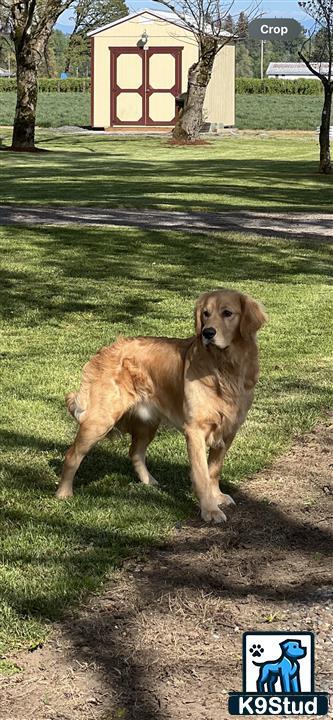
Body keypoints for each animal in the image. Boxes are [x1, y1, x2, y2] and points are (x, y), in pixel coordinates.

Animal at [55, 286, 266, 524]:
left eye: (227, 313)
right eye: (206, 314)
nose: (207, 333)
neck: (225, 368)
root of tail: (104, 350)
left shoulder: (228, 430)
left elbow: (214, 470)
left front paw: (217, 497)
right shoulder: (195, 431)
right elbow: (202, 474)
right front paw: (209, 510)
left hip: (147, 423)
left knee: (135, 453)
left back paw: (149, 481)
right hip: (100, 420)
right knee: (72, 455)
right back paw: (64, 493)